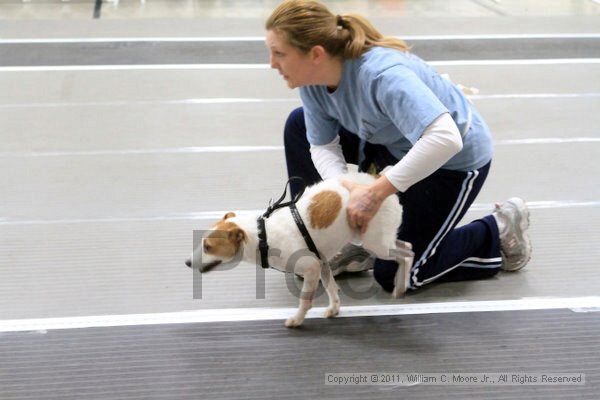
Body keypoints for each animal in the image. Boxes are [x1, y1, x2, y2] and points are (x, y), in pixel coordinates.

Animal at [186, 173, 412, 328]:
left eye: (208, 247)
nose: (187, 262)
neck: (262, 236)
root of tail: (379, 178)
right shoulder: (322, 263)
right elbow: (331, 289)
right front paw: (334, 308)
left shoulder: (311, 268)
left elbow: (305, 299)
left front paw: (297, 319)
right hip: (380, 241)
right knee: (407, 246)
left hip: (377, 245)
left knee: (408, 255)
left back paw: (400, 285)